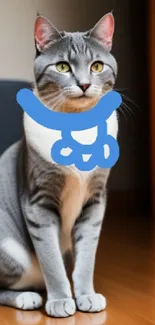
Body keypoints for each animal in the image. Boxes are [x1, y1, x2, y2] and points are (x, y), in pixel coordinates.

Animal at [0, 12, 117, 316]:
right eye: (63, 66)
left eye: (97, 65)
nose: (84, 84)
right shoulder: (38, 202)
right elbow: (51, 260)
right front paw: (61, 300)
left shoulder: (95, 201)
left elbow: (86, 257)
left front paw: (86, 295)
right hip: (11, 251)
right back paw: (27, 298)